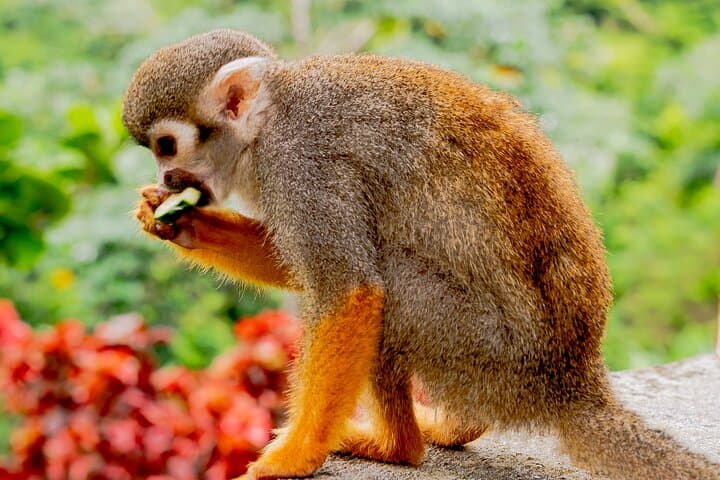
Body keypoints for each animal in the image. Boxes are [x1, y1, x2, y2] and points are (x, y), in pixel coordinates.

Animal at [124, 29, 720, 480]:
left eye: (167, 146)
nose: (167, 180)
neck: (267, 122)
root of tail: (574, 381)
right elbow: (298, 263)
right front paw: (180, 223)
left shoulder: (302, 164)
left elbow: (349, 288)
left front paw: (295, 456)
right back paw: (456, 427)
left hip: (488, 348)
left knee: (391, 290)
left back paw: (399, 447)